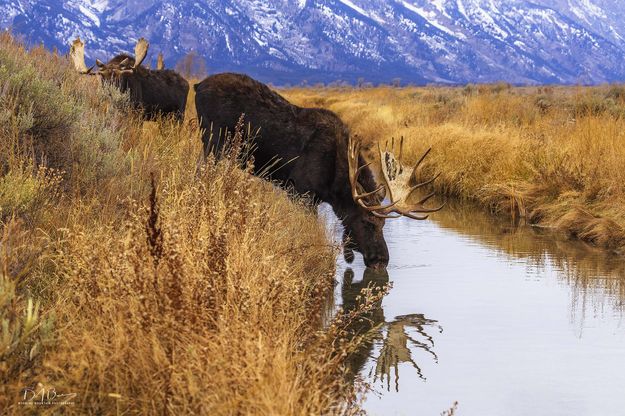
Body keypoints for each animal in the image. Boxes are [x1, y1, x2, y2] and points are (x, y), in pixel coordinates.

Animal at [195, 73, 444, 270]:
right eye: (367, 223)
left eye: (383, 225)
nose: (381, 260)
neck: (335, 187)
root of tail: (198, 86)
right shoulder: (300, 192)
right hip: (213, 142)